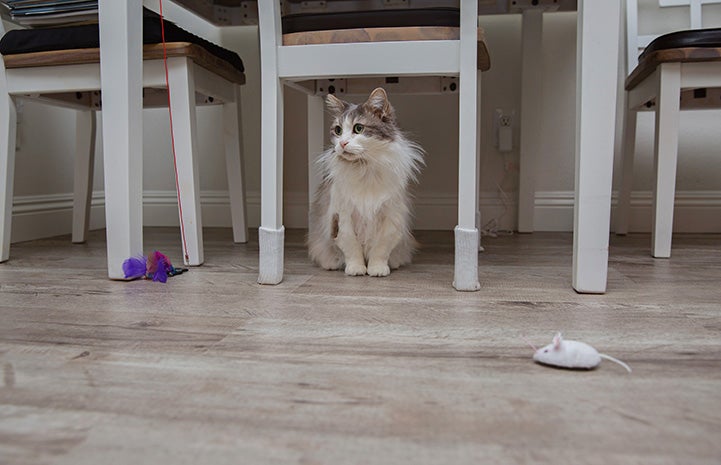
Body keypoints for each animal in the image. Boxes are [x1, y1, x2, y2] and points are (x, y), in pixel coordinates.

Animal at [306, 87, 424, 276]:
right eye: (338, 130)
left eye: (358, 128)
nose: (342, 143)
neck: (365, 169)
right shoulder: (342, 216)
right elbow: (351, 247)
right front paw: (356, 269)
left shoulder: (391, 216)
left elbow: (381, 249)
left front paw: (377, 269)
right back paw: (332, 264)